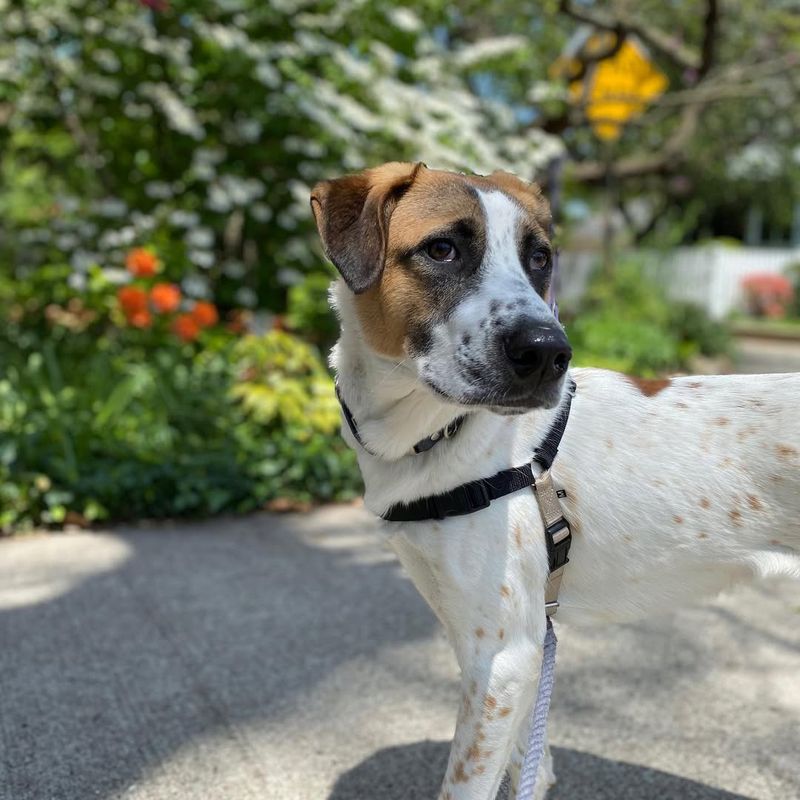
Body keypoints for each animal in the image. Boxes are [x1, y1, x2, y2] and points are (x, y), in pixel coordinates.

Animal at [308, 159, 800, 796]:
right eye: (442, 249)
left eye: (538, 258)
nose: (549, 353)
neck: (444, 434)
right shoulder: (507, 648)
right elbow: (531, 766)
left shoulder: (501, 661)